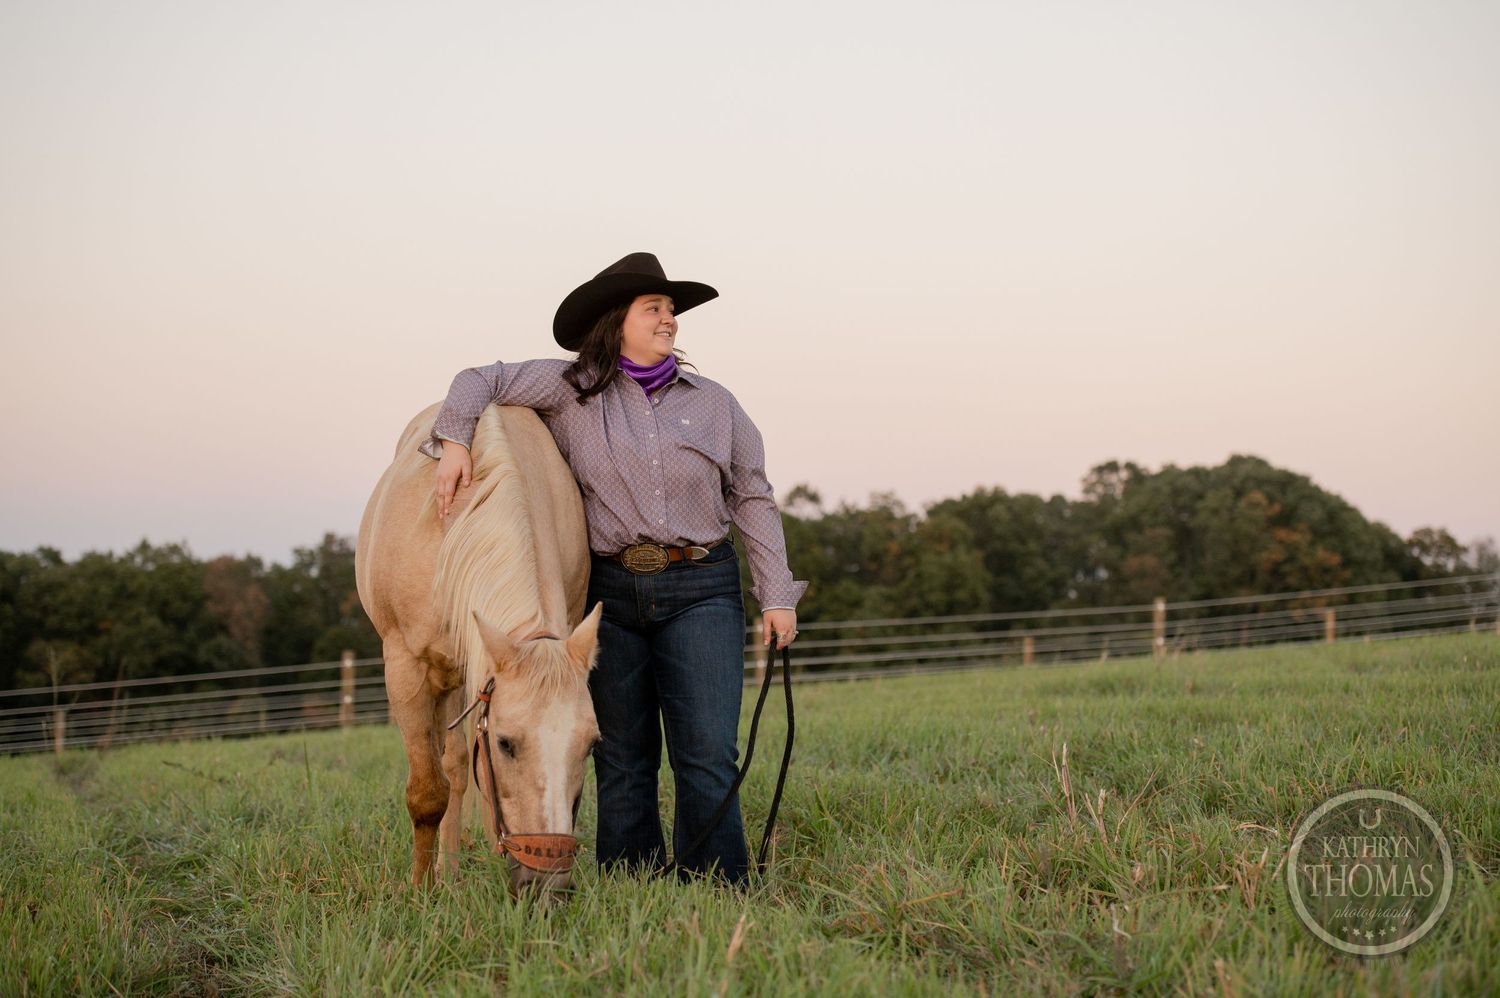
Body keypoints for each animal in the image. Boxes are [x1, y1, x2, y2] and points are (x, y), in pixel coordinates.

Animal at [355, 402, 602, 891]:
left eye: (590, 746)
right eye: (506, 744)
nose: (549, 884)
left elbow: (455, 778)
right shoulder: (406, 668)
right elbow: (427, 792)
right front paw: (420, 889)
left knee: (455, 768)